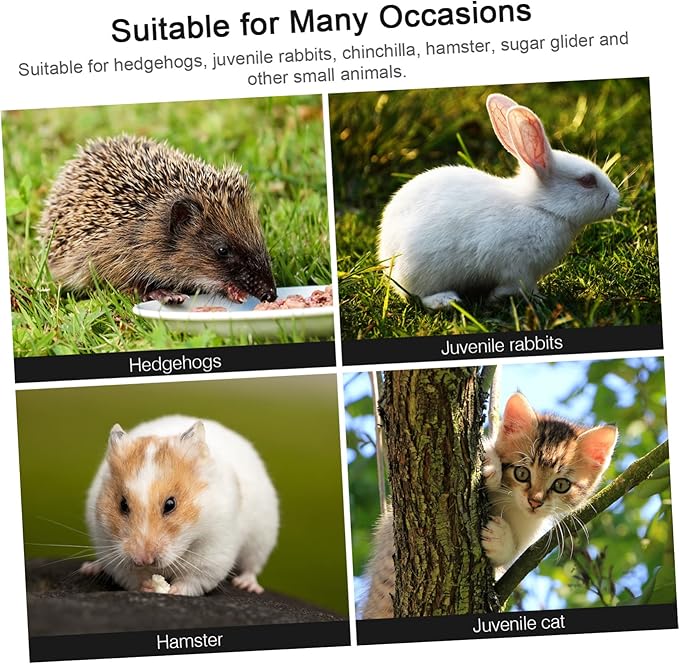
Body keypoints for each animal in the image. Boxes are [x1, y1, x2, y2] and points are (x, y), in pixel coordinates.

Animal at [80, 415, 279, 596]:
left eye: (170, 504)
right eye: (123, 504)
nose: (144, 559)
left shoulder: (213, 553)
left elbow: (193, 580)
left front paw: (173, 591)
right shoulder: (110, 549)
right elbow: (131, 577)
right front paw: (149, 586)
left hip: (262, 538)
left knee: (252, 566)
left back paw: (247, 585)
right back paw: (90, 568)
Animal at [377, 93, 620, 310]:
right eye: (587, 181)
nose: (616, 198)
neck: (540, 207)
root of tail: (386, 252)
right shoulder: (519, 269)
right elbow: (519, 287)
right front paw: (508, 298)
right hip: (420, 271)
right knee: (415, 294)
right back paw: (446, 301)